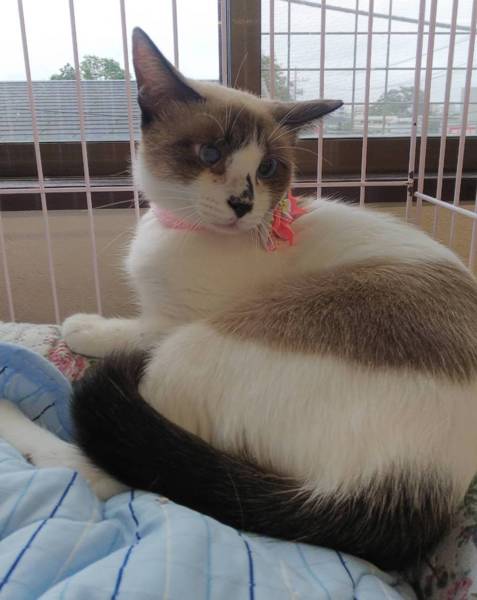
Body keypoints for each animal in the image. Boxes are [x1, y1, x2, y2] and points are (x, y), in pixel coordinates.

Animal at [2, 26, 477, 572]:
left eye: (268, 167)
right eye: (210, 154)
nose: (242, 203)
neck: (180, 231)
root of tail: (404, 489)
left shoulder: (174, 322)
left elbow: (134, 328)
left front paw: (83, 327)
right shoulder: (164, 313)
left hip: (188, 352)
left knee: (104, 474)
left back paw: (10, 416)